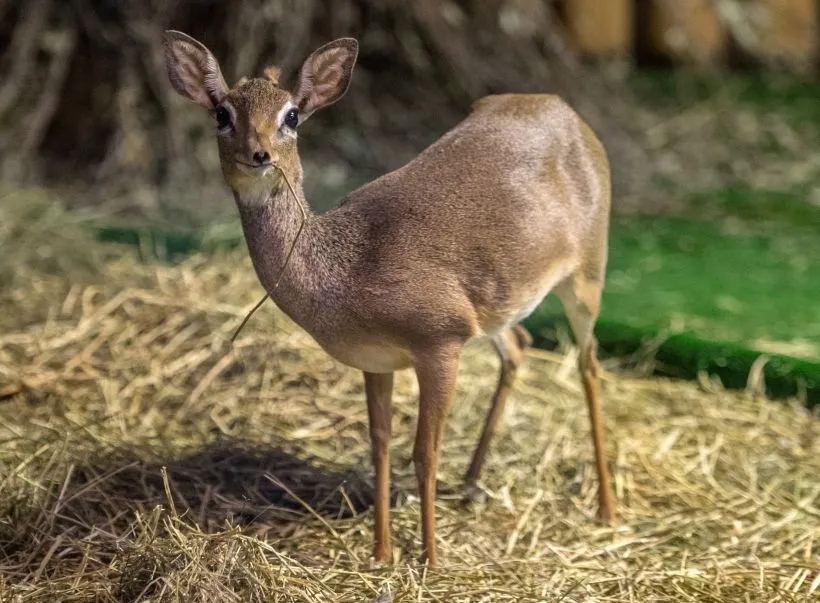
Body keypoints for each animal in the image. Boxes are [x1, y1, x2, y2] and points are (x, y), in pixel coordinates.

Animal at [165, 30, 616, 568]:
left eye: (291, 115)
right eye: (222, 113)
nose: (259, 155)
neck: (347, 273)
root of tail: (564, 109)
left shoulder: (441, 341)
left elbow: (424, 452)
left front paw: (430, 558)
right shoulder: (375, 359)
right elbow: (380, 445)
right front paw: (382, 551)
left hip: (588, 269)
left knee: (589, 363)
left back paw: (607, 507)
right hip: (500, 304)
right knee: (520, 345)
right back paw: (472, 482)